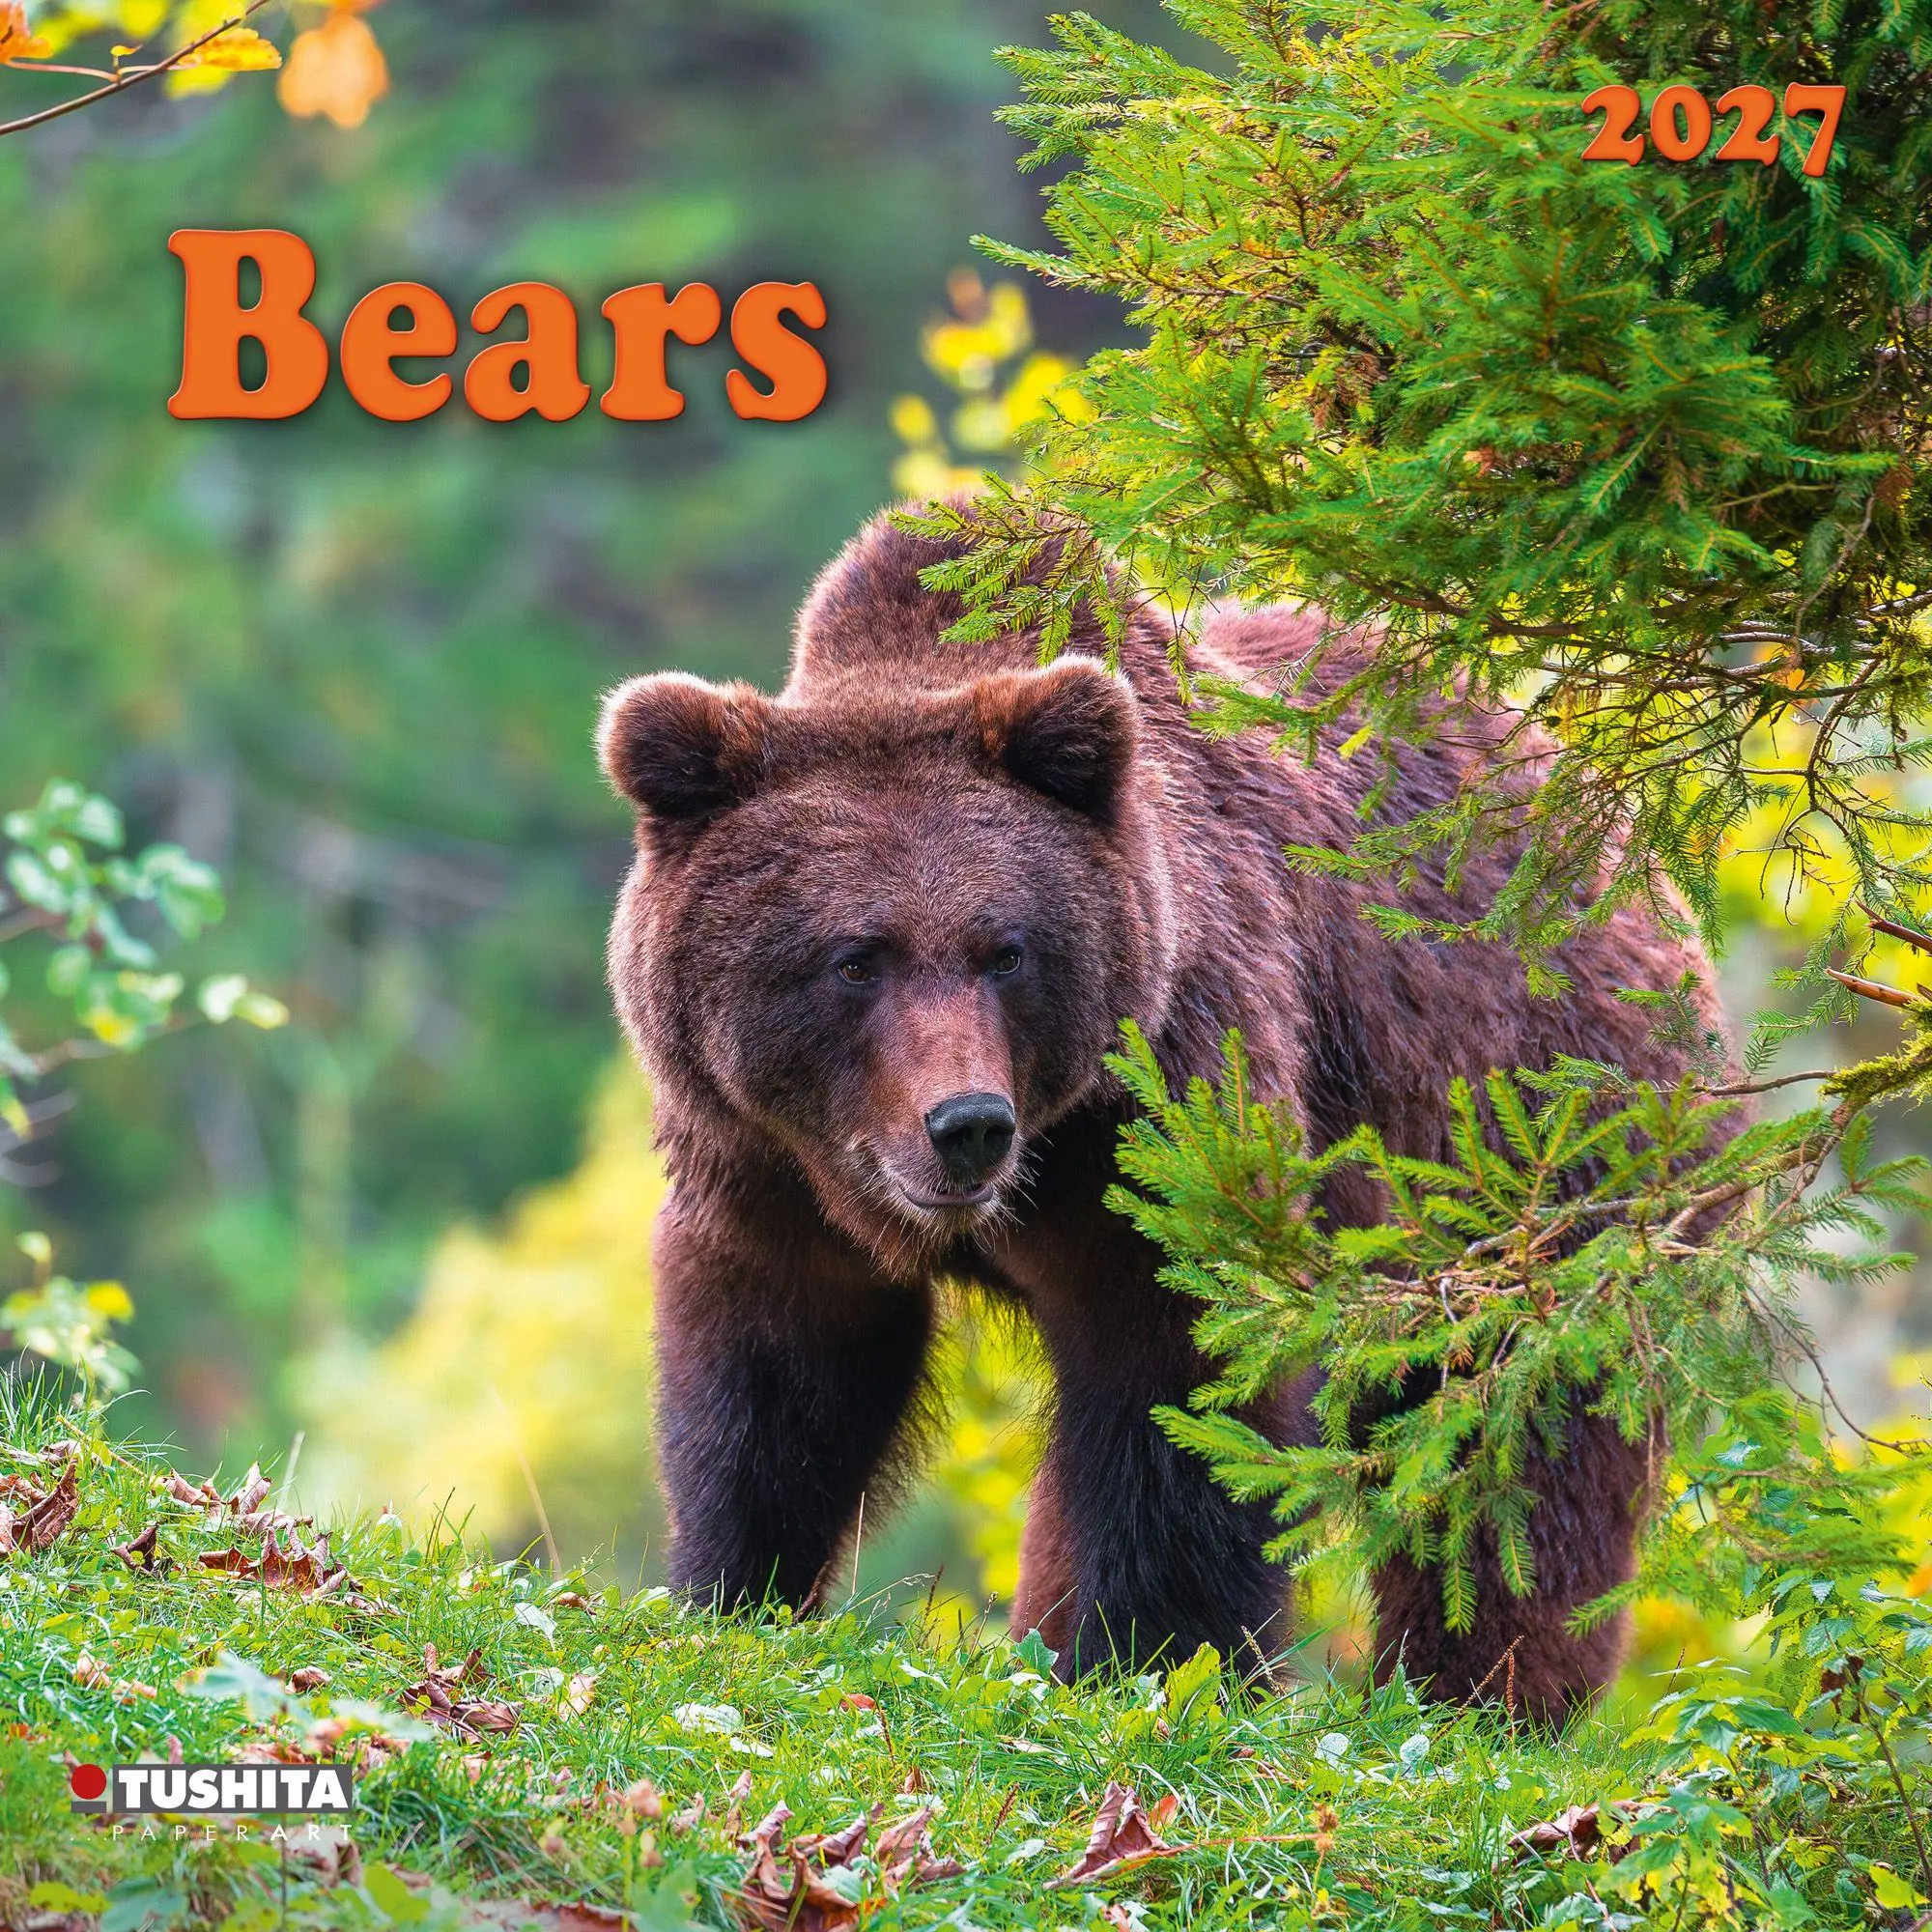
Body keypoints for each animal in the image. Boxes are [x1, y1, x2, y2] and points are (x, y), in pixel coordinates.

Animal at [597, 504, 1731, 1720]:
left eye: (1004, 949)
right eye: (855, 958)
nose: (967, 1123)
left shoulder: (1175, 1109)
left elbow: (1174, 1381)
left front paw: (1145, 1653)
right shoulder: (763, 1159)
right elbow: (774, 1381)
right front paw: (733, 1591)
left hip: (1536, 1143)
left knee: (1515, 1434)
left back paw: (1476, 1691)